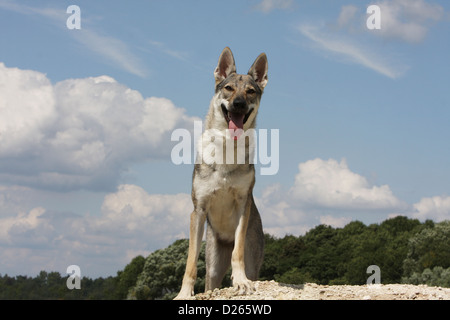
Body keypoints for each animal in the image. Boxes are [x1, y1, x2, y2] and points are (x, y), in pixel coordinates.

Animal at [175, 48, 268, 300]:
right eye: (228, 88)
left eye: (250, 91)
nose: (238, 103)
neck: (227, 147)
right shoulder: (198, 210)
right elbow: (190, 263)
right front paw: (184, 294)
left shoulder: (243, 204)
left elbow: (238, 254)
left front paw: (241, 282)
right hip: (214, 266)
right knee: (210, 284)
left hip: (253, 260)